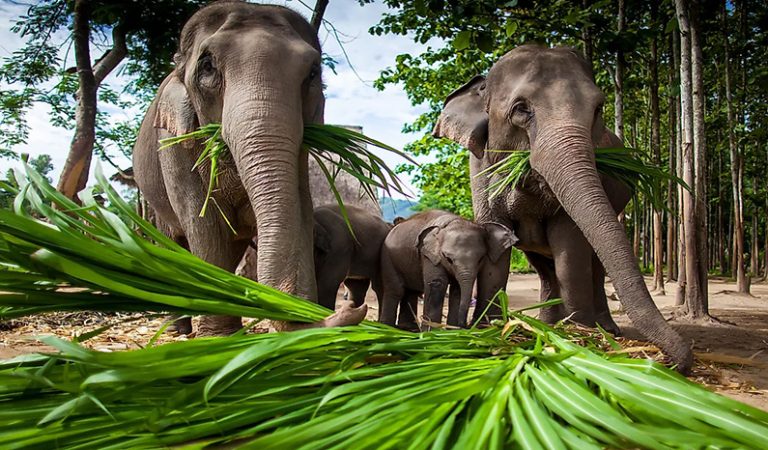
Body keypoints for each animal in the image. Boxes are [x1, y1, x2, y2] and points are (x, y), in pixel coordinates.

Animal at [134, 2, 364, 334]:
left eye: (312, 73)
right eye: (207, 66)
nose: (351, 308)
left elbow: (300, 209)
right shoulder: (173, 143)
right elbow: (204, 224)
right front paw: (218, 336)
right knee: (174, 241)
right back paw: (179, 328)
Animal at [378, 211, 516, 330]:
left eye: (481, 259)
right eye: (448, 259)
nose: (464, 326)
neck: (453, 221)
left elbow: (457, 290)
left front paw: (452, 331)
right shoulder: (429, 256)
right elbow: (437, 284)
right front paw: (431, 333)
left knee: (411, 292)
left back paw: (408, 328)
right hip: (387, 257)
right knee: (396, 290)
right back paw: (387, 327)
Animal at [436, 44, 692, 372]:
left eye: (598, 109)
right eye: (521, 109)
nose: (672, 362)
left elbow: (570, 246)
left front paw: (578, 333)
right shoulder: (479, 170)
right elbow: (496, 239)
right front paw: (489, 329)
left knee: (593, 264)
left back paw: (603, 329)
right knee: (543, 267)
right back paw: (545, 323)